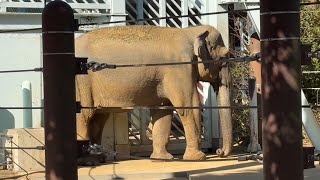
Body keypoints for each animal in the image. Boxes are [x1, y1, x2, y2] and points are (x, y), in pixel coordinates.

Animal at [75, 24, 232, 161]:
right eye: (224, 57)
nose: (219, 152)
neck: (190, 31)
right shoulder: (180, 69)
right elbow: (189, 105)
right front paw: (197, 158)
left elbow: (163, 111)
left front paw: (162, 159)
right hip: (81, 83)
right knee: (84, 116)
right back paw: (88, 161)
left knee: (98, 118)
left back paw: (99, 158)